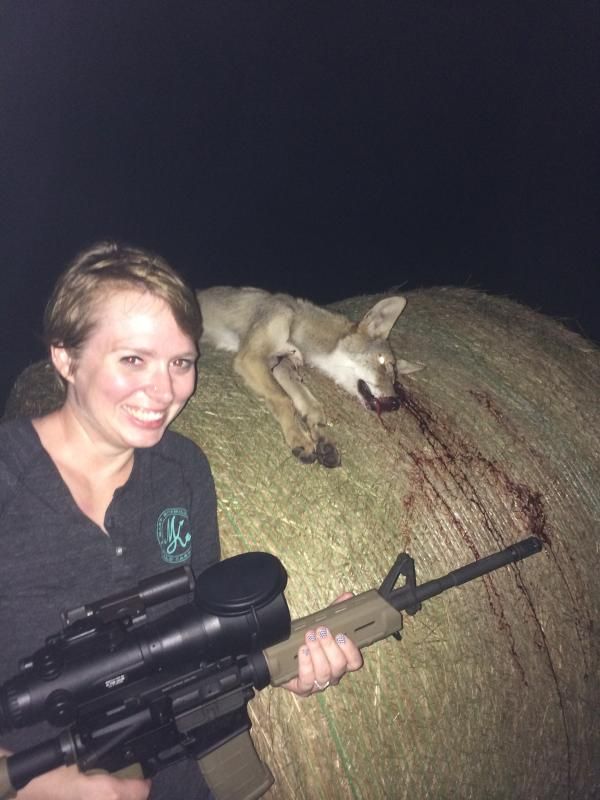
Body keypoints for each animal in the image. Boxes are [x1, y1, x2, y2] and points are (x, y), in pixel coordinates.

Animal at [197, 287, 423, 467]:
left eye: (394, 379)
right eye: (382, 362)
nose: (395, 403)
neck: (298, 324)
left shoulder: (281, 366)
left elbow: (311, 406)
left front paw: (321, 438)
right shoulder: (250, 358)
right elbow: (284, 399)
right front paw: (299, 438)